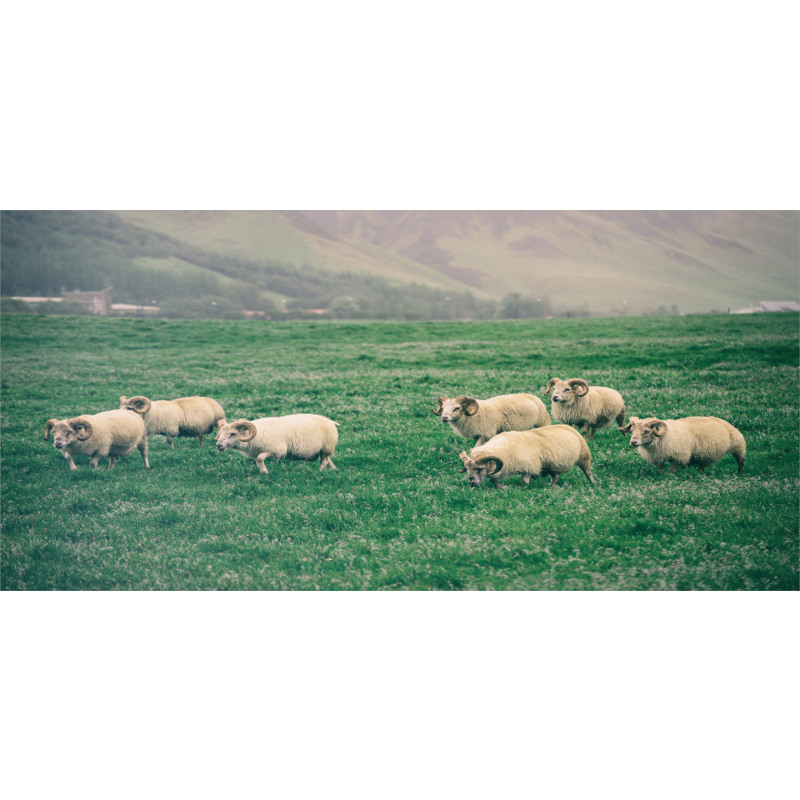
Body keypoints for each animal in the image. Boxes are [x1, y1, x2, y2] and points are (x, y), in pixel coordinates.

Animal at [456, 424, 592, 488]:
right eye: (467, 469)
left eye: (479, 469)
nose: (471, 483)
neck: (503, 449)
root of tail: (568, 426)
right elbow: (494, 479)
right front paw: (502, 488)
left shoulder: (529, 466)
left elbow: (523, 481)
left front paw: (523, 488)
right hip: (551, 465)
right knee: (555, 477)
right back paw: (551, 486)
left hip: (584, 457)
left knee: (587, 472)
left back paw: (593, 484)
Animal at [620, 412, 748, 476]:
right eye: (632, 430)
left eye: (646, 431)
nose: (633, 442)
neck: (667, 436)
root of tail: (724, 421)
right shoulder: (658, 458)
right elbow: (660, 470)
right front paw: (661, 477)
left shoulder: (679, 456)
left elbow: (672, 470)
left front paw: (670, 478)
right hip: (704, 454)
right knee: (701, 466)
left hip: (738, 446)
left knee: (740, 461)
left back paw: (740, 473)